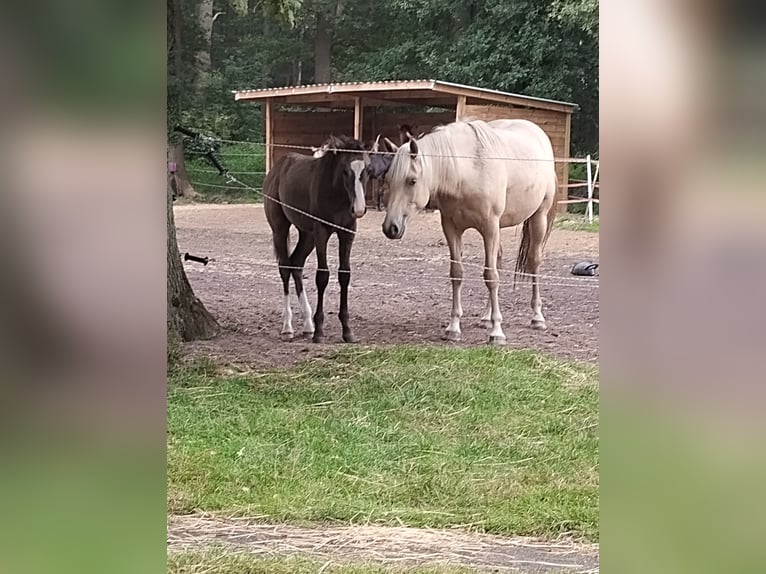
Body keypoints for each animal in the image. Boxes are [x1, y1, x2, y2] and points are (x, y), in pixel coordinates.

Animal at [266, 136, 370, 344]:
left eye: (366, 170)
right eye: (345, 170)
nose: (359, 209)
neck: (335, 192)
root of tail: (277, 168)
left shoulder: (347, 232)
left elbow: (344, 275)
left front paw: (347, 331)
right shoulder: (322, 231)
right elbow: (322, 276)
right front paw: (320, 331)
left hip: (308, 235)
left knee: (296, 264)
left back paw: (308, 325)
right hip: (281, 229)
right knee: (285, 268)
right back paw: (288, 327)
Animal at [384, 118, 560, 344]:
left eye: (412, 180)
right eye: (388, 180)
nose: (391, 228)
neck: (466, 171)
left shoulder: (490, 227)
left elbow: (491, 277)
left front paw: (497, 332)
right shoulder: (451, 228)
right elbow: (457, 274)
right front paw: (453, 328)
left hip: (538, 218)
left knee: (533, 261)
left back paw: (537, 317)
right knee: (498, 261)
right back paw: (486, 317)